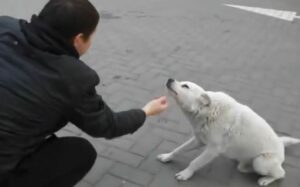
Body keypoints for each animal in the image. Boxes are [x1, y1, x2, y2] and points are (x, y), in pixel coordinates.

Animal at [157, 78, 300, 186]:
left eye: (185, 86)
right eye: (182, 82)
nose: (170, 79)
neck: (208, 111)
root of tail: (281, 144)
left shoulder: (213, 150)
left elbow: (195, 162)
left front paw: (185, 174)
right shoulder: (198, 140)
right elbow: (178, 149)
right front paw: (167, 157)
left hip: (261, 162)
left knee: (281, 173)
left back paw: (265, 179)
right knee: (243, 167)